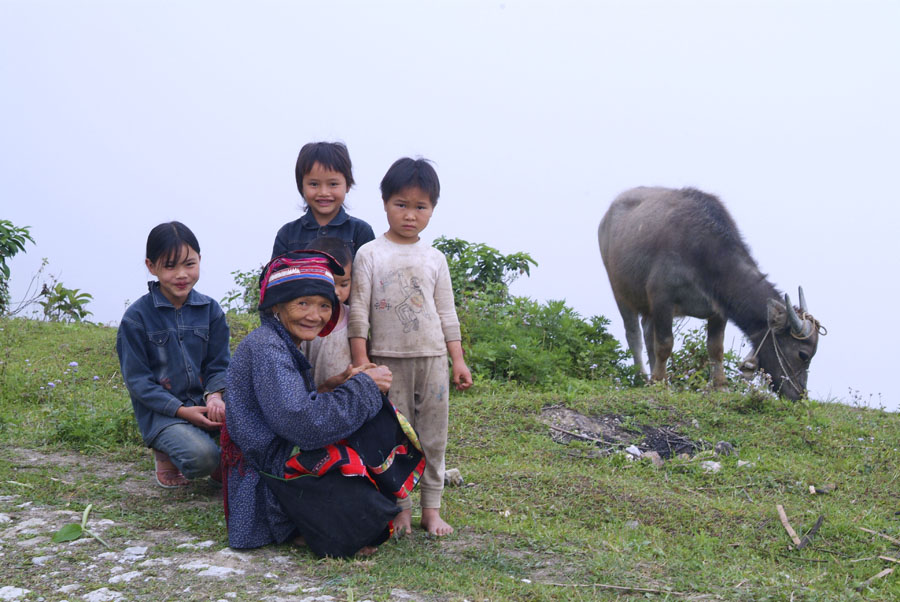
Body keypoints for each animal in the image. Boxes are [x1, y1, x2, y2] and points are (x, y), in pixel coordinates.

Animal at [596, 184, 824, 398]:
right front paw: (661, 383)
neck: (702, 253)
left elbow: (715, 348)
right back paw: (643, 377)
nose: (799, 395)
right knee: (634, 335)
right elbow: (665, 344)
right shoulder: (662, 299)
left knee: (647, 333)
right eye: (803, 354)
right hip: (621, 293)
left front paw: (720, 385)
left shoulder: (717, 309)